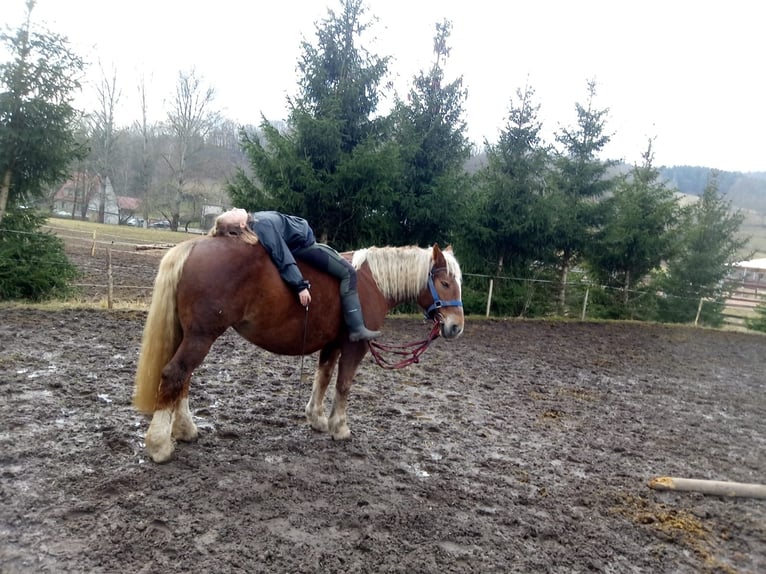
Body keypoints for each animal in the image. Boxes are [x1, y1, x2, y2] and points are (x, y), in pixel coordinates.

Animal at [132, 232, 464, 463]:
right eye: (445, 283)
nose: (456, 326)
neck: (371, 283)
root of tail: (193, 246)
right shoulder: (354, 346)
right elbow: (343, 384)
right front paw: (339, 427)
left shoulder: (331, 344)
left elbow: (323, 377)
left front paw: (316, 418)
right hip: (201, 337)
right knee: (175, 375)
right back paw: (160, 445)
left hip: (191, 336)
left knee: (183, 379)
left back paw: (185, 430)